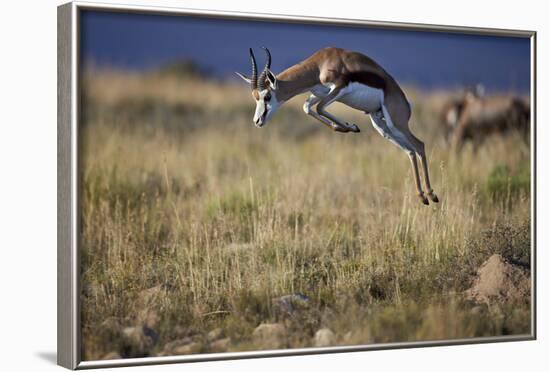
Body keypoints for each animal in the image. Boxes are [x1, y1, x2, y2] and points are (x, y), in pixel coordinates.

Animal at [236, 46, 440, 205]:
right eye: (255, 97)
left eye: (267, 96)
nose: (257, 121)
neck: (320, 64)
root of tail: (405, 102)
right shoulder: (319, 93)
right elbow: (307, 108)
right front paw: (349, 127)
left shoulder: (338, 89)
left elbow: (318, 108)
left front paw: (351, 127)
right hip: (382, 126)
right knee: (410, 151)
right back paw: (422, 196)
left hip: (396, 123)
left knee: (419, 145)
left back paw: (432, 195)